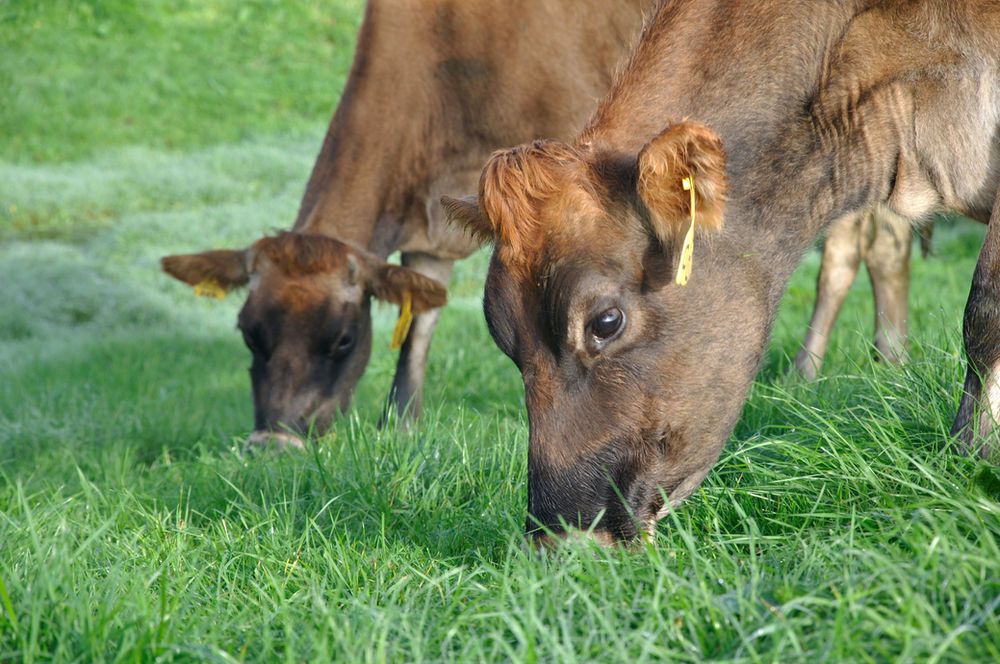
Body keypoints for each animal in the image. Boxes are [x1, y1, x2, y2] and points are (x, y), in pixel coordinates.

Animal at [161, 0, 647, 449]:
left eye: (344, 339)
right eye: (248, 333)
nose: (273, 446)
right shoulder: (432, 231)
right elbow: (419, 325)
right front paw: (399, 426)